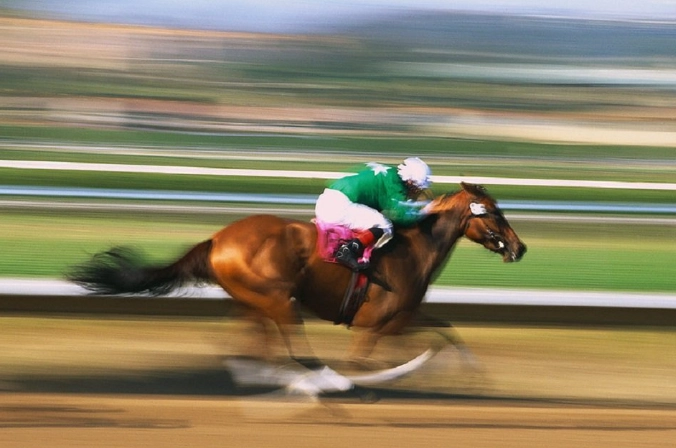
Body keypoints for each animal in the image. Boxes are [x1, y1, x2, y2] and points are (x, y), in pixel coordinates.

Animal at [68, 182, 526, 381]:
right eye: (493, 212)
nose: (519, 248)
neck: (413, 248)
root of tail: (217, 238)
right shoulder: (382, 322)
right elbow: (366, 360)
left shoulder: (404, 316)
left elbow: (446, 329)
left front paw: (470, 371)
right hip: (277, 298)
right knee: (288, 347)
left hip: (251, 300)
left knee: (250, 343)